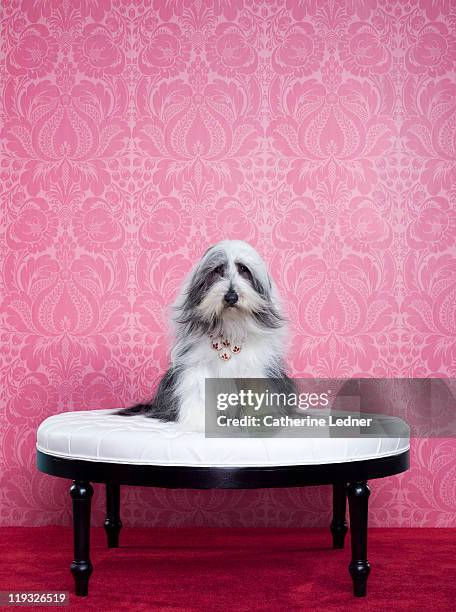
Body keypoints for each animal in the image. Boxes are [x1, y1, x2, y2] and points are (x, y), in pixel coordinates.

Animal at [116, 237, 296, 432]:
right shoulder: (197, 366)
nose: (231, 297)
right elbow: (198, 394)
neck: (230, 327)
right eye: (217, 270)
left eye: (243, 269)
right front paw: (199, 423)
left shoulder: (254, 369)